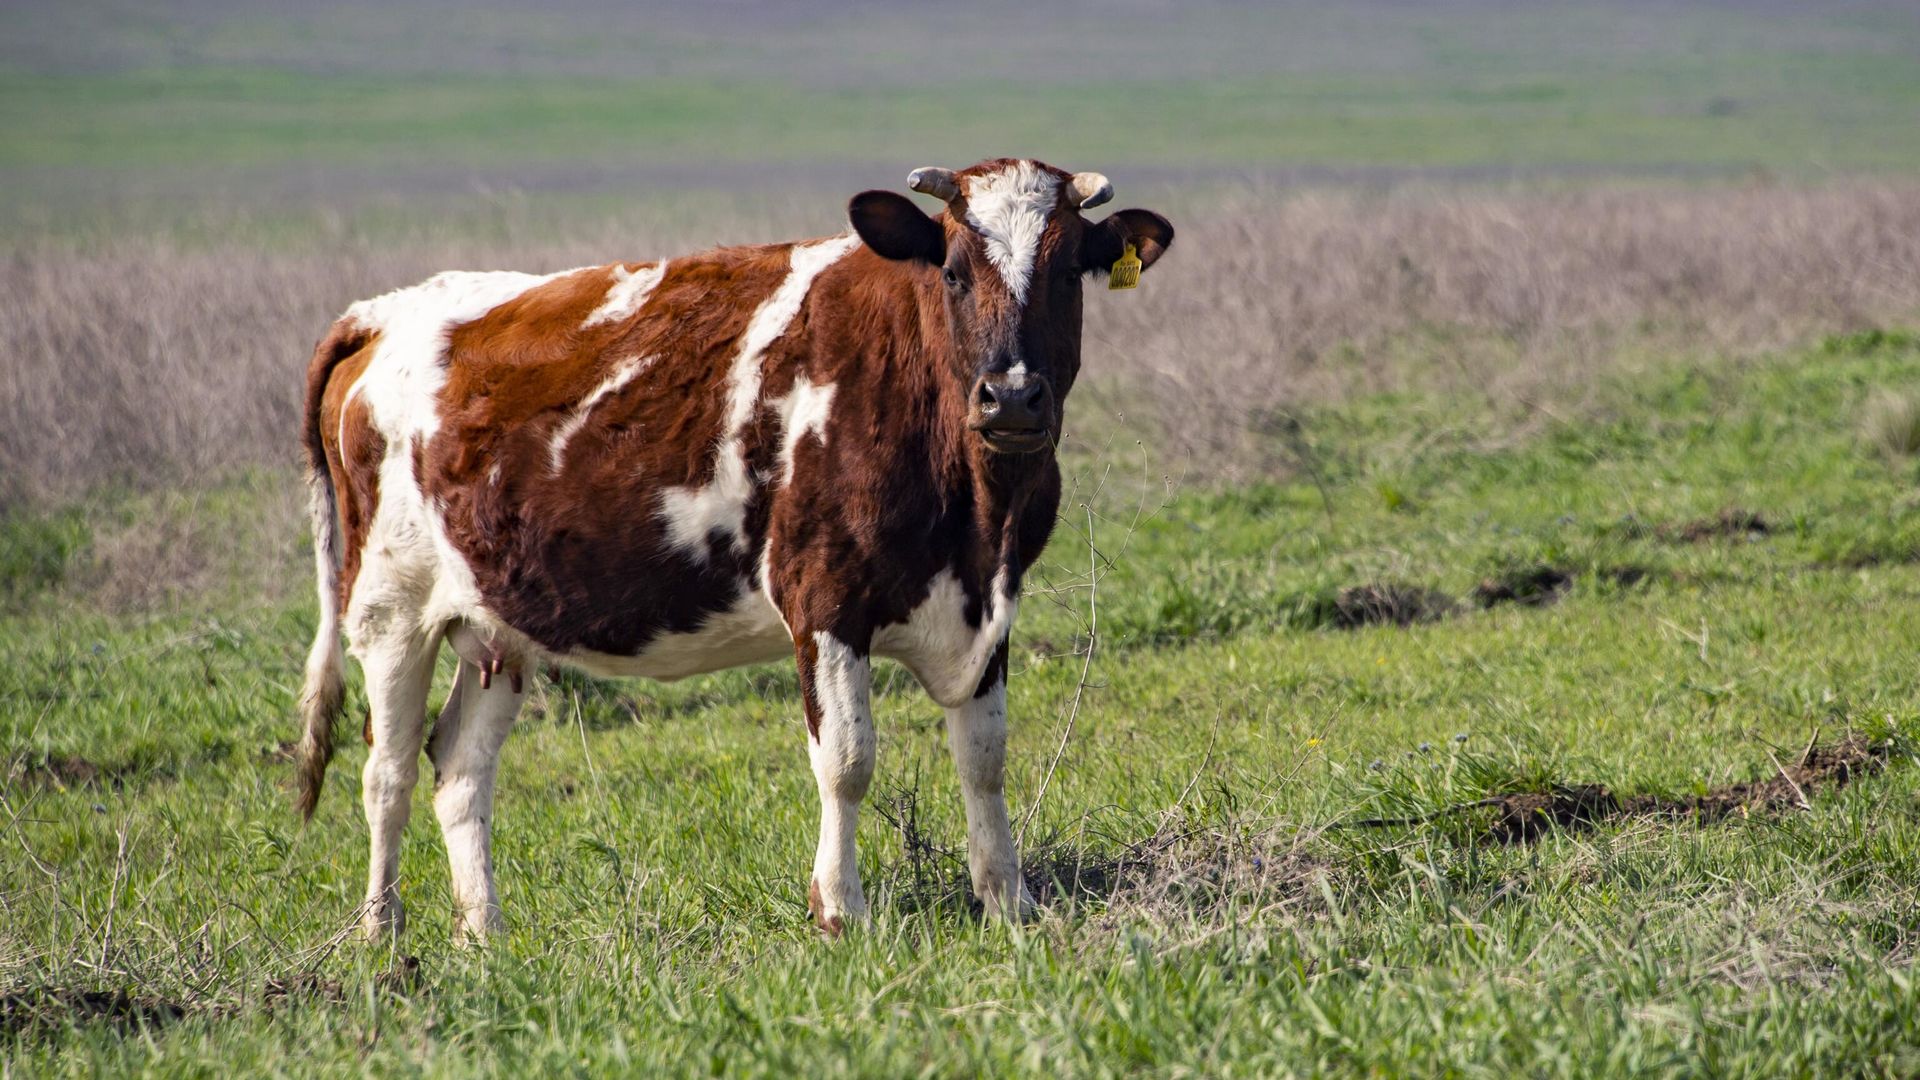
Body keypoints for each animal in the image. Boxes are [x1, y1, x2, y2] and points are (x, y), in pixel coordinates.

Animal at [295, 157, 1174, 940]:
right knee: (387, 773)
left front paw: (1009, 902)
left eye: (1068, 273)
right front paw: (841, 911)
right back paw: (381, 934)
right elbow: (847, 759)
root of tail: (383, 313)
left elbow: (983, 757)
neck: (977, 512)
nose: (1013, 396)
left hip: (497, 624)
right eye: (953, 271)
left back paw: (486, 933)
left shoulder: (989, 602)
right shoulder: (823, 597)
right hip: (388, 609)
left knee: (460, 770)